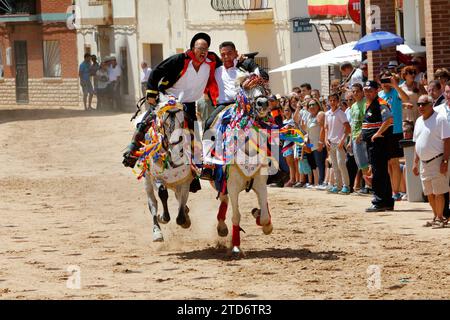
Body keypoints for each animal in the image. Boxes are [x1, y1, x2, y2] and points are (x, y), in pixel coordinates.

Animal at [134, 96, 196, 241]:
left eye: (183, 122)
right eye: (165, 124)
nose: (175, 146)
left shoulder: (185, 181)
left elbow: (181, 207)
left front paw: (185, 220)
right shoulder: (157, 178)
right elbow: (162, 193)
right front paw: (162, 217)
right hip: (147, 182)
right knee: (152, 204)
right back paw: (157, 231)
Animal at [203, 71, 274, 256]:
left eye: (263, 86)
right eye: (245, 88)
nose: (263, 103)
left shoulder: (260, 183)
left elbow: (264, 215)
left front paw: (262, 220)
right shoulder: (233, 185)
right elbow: (236, 216)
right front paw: (236, 246)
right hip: (219, 181)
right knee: (224, 200)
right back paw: (222, 227)